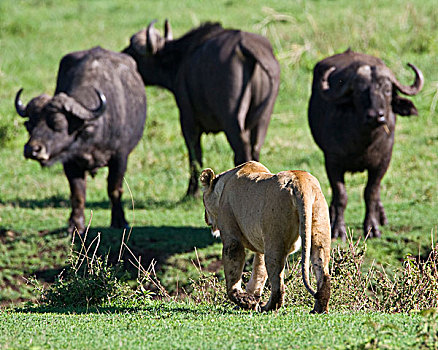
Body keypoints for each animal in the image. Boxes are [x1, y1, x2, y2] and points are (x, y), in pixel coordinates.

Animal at [15, 45, 147, 232]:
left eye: (58, 124)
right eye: (30, 126)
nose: (32, 149)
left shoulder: (120, 157)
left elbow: (115, 189)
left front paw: (120, 220)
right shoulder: (70, 161)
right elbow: (77, 193)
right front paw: (76, 224)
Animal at [123, 19, 280, 197]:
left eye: (133, 51)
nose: (124, 57)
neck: (181, 59)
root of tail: (244, 47)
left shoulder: (188, 120)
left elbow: (194, 155)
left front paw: (192, 192)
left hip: (232, 120)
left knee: (242, 150)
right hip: (263, 120)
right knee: (255, 148)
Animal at [308, 49, 424, 239]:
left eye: (387, 90)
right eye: (359, 91)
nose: (376, 116)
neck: (364, 143)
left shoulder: (382, 162)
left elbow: (371, 193)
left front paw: (372, 227)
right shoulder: (332, 162)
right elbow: (341, 195)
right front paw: (338, 229)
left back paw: (381, 216)